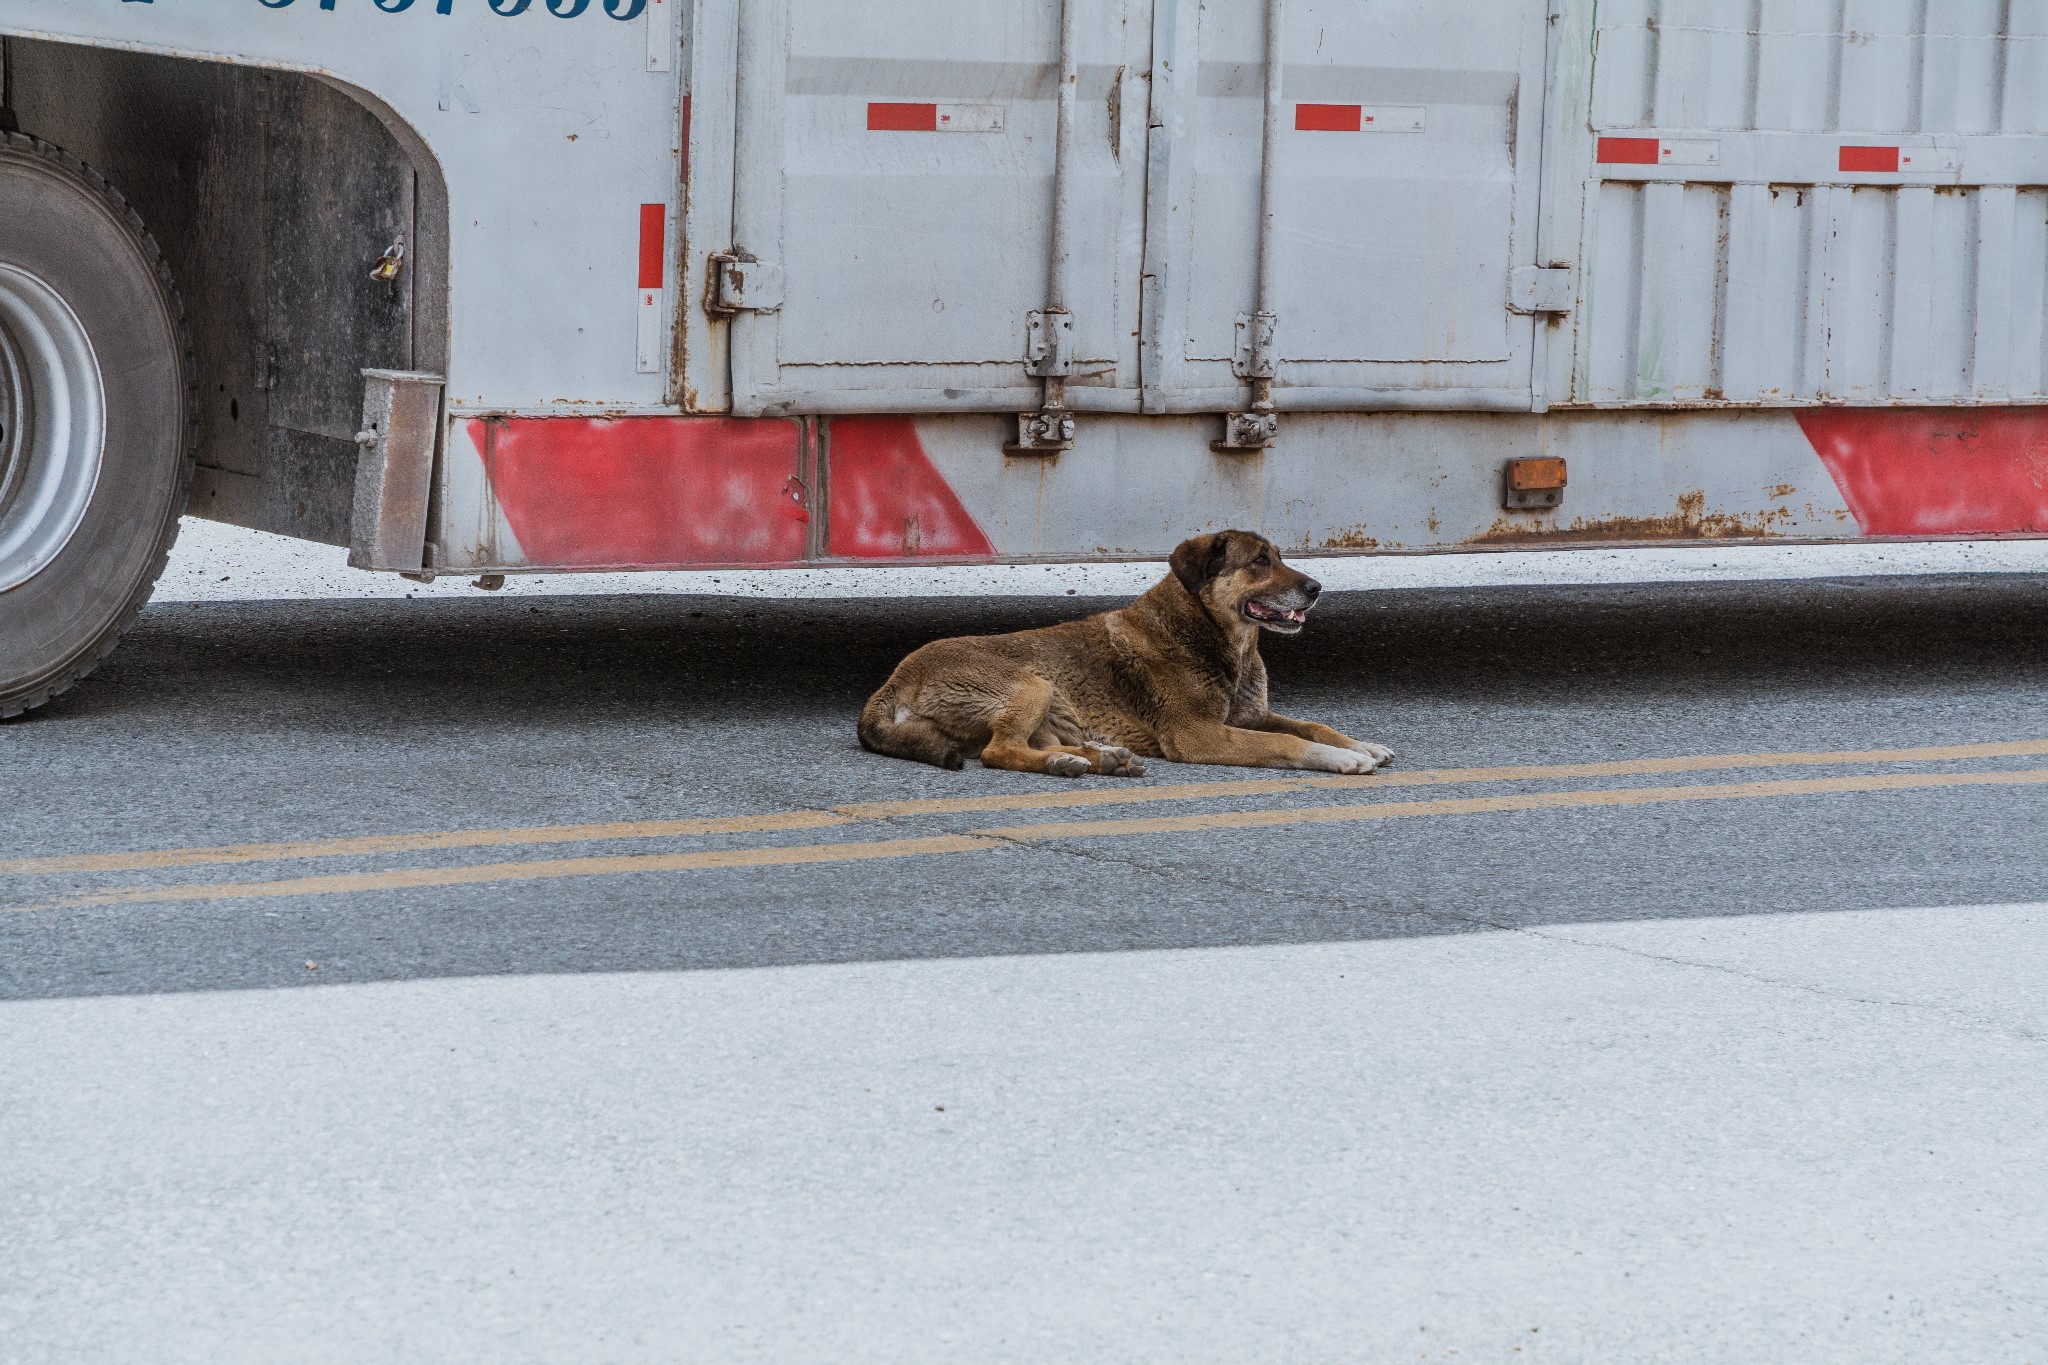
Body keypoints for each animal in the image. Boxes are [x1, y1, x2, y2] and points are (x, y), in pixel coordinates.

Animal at [856, 532, 1400, 777]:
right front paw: (1342, 759)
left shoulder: (1251, 717)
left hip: (1047, 704)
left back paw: (1098, 758)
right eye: (1261, 561)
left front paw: (1359, 744)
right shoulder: (1200, 735)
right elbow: (1289, 742)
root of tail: (890, 686)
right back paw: (1074, 763)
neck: (1215, 636)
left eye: (1281, 557)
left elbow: (1312, 725)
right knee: (999, 751)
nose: (1316, 588)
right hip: (1032, 683)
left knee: (1029, 745)